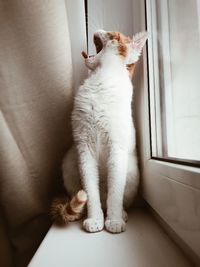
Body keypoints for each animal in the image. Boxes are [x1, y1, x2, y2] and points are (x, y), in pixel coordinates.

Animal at [51, 29, 148, 234]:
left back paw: (122, 214)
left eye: (114, 35)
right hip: (69, 162)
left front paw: (114, 221)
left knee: (117, 200)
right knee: (93, 198)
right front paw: (95, 219)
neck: (101, 82)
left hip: (132, 171)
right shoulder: (83, 148)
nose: (99, 30)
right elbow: (90, 192)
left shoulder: (116, 149)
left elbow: (115, 193)